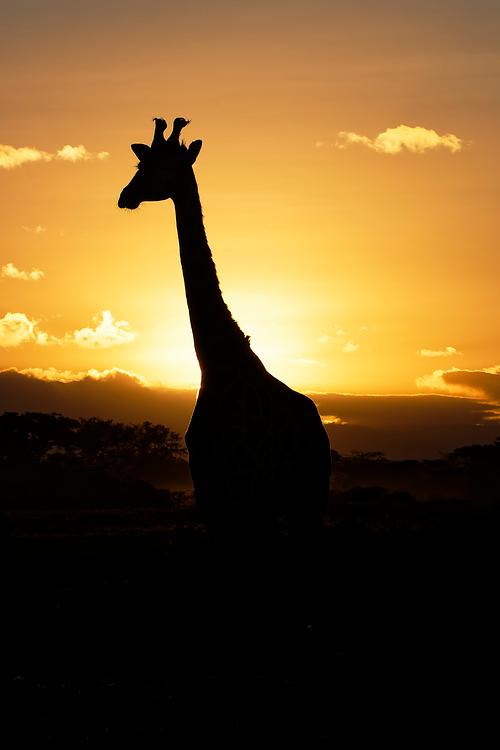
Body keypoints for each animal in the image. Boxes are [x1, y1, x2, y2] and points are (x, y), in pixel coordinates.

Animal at [118, 117, 331, 543]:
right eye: (140, 164)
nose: (125, 196)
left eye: (161, 167)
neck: (217, 365)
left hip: (307, 499)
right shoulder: (211, 495)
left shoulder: (245, 494)